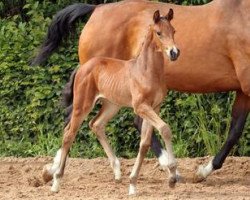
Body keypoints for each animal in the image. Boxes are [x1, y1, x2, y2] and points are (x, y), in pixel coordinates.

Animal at [43, 9, 180, 195]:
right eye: (159, 33)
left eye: (173, 31)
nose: (174, 52)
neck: (147, 71)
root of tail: (82, 67)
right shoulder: (141, 107)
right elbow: (165, 129)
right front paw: (172, 175)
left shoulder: (155, 107)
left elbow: (145, 143)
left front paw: (133, 184)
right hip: (83, 105)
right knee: (69, 133)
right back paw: (56, 181)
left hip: (111, 105)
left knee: (96, 124)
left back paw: (116, 171)